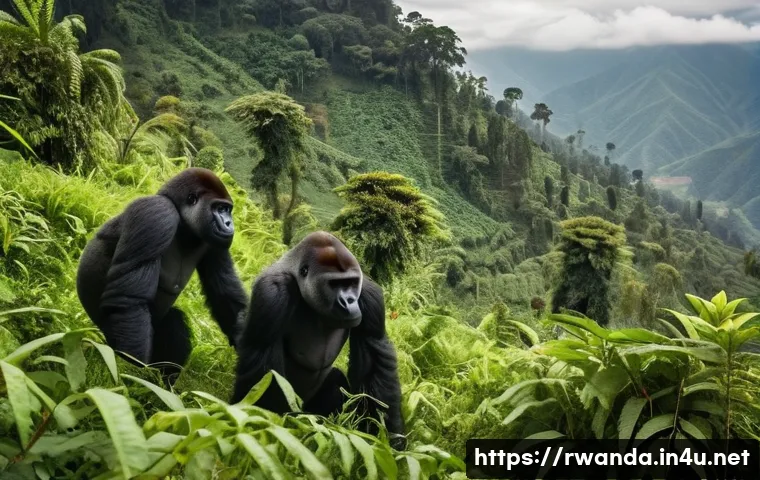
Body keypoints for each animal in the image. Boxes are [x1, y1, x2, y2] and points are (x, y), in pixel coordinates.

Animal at [76, 168, 248, 381]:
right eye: (219, 208)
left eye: (227, 209)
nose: (229, 223)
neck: (183, 225)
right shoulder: (157, 213)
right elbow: (129, 300)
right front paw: (129, 370)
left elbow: (224, 295)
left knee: (173, 322)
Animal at [231, 231, 406, 449]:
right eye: (334, 284)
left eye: (351, 283)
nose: (349, 301)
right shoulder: (271, 292)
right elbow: (263, 368)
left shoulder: (368, 292)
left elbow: (374, 359)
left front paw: (386, 438)